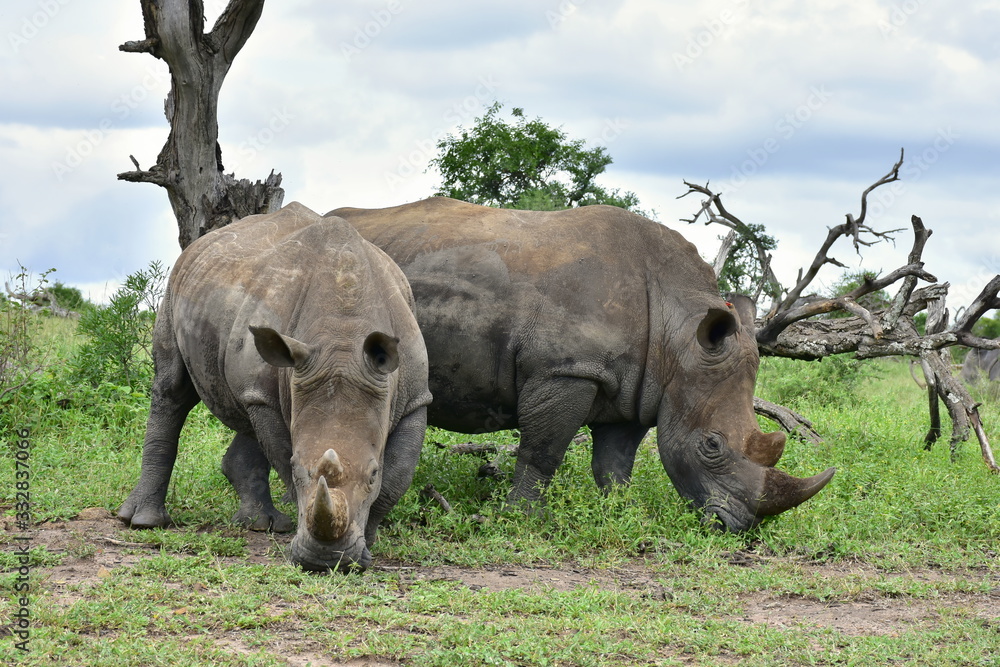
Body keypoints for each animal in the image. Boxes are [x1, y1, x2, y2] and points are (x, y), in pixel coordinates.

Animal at [119, 202, 432, 571]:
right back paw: (144, 522)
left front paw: (365, 545)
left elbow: (397, 476)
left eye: (372, 473)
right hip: (176, 284)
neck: (343, 333)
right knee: (172, 390)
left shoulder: (415, 398)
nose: (324, 561)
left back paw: (259, 525)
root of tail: (199, 245)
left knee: (247, 409)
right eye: (297, 469)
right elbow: (282, 456)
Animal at [328, 197, 835, 532]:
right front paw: (522, 520)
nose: (735, 526)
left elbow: (614, 462)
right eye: (711, 446)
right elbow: (543, 451)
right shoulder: (567, 369)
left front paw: (620, 513)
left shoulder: (640, 386)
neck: (680, 336)